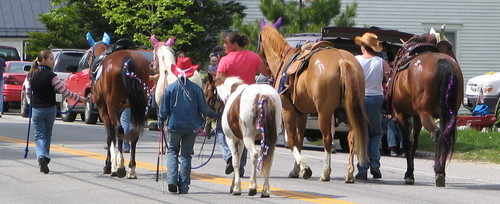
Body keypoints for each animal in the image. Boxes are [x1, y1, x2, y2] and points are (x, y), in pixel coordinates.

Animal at [260, 23, 370, 182]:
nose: (264, 72)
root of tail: (342, 61)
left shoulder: (288, 110)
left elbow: (292, 140)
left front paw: (305, 169)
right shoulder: (301, 113)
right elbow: (299, 140)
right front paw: (296, 170)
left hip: (324, 113)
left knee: (327, 139)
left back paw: (325, 173)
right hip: (349, 111)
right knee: (352, 138)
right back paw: (349, 173)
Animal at [388, 37, 462, 186]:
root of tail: (445, 65)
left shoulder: (401, 115)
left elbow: (407, 143)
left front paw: (409, 174)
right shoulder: (416, 117)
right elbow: (415, 143)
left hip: (425, 113)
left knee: (437, 134)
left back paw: (438, 171)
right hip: (447, 115)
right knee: (444, 136)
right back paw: (441, 172)